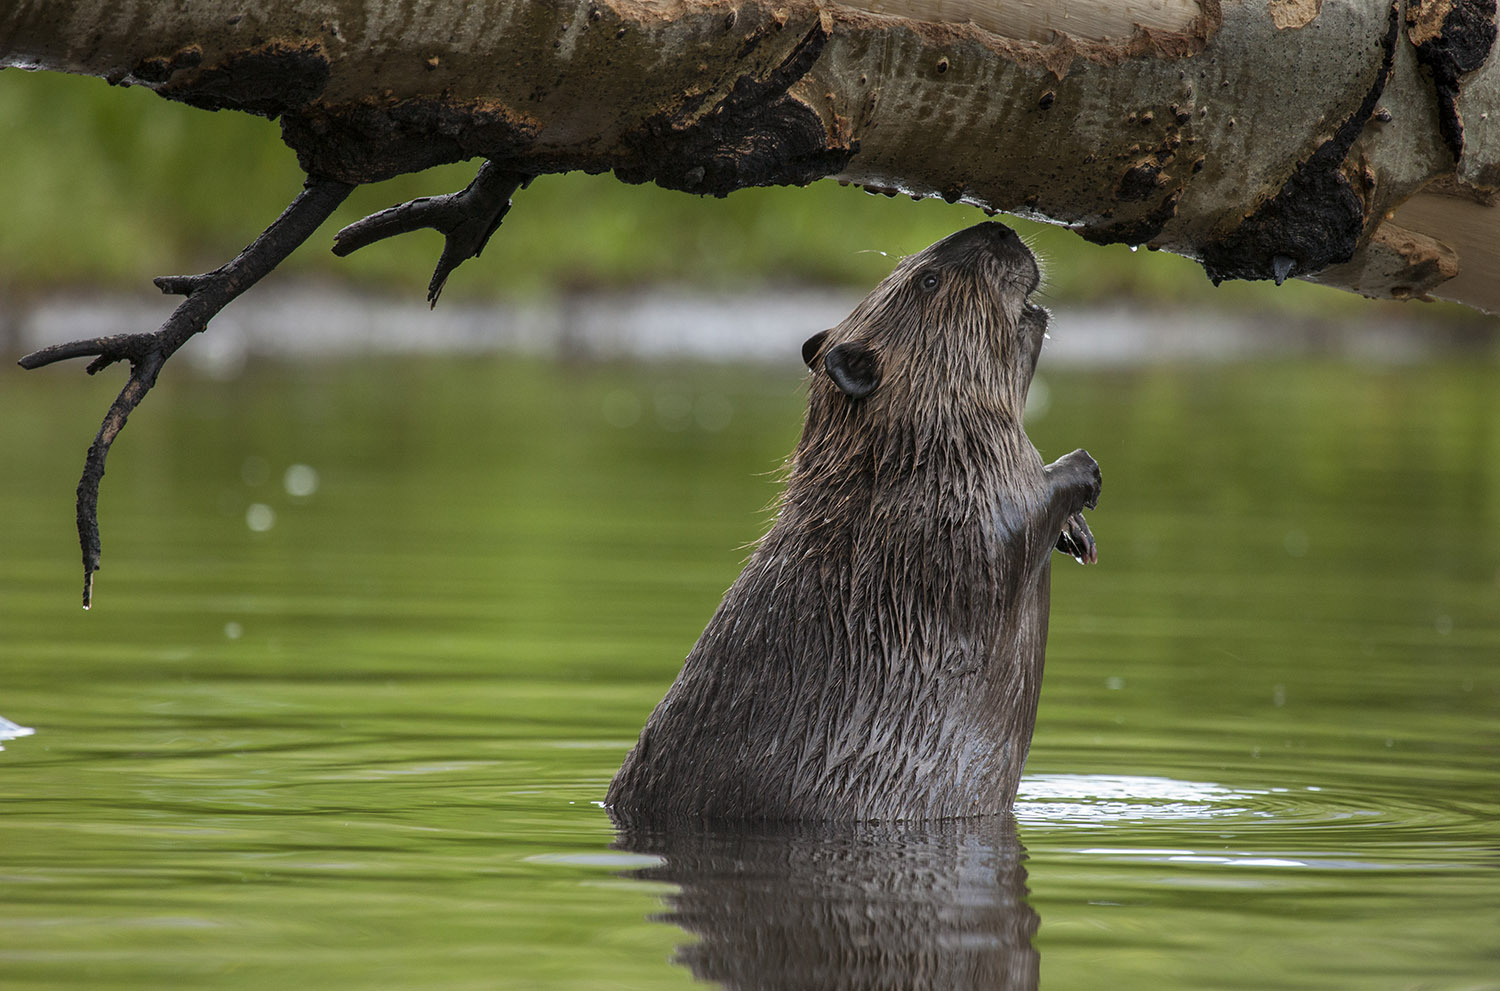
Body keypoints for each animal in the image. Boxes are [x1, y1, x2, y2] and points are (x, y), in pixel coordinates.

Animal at [603, 224, 1098, 821]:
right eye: (928, 280)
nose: (1000, 228)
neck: (899, 455)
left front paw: (1079, 534)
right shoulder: (948, 513)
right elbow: (1013, 523)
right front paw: (1084, 473)